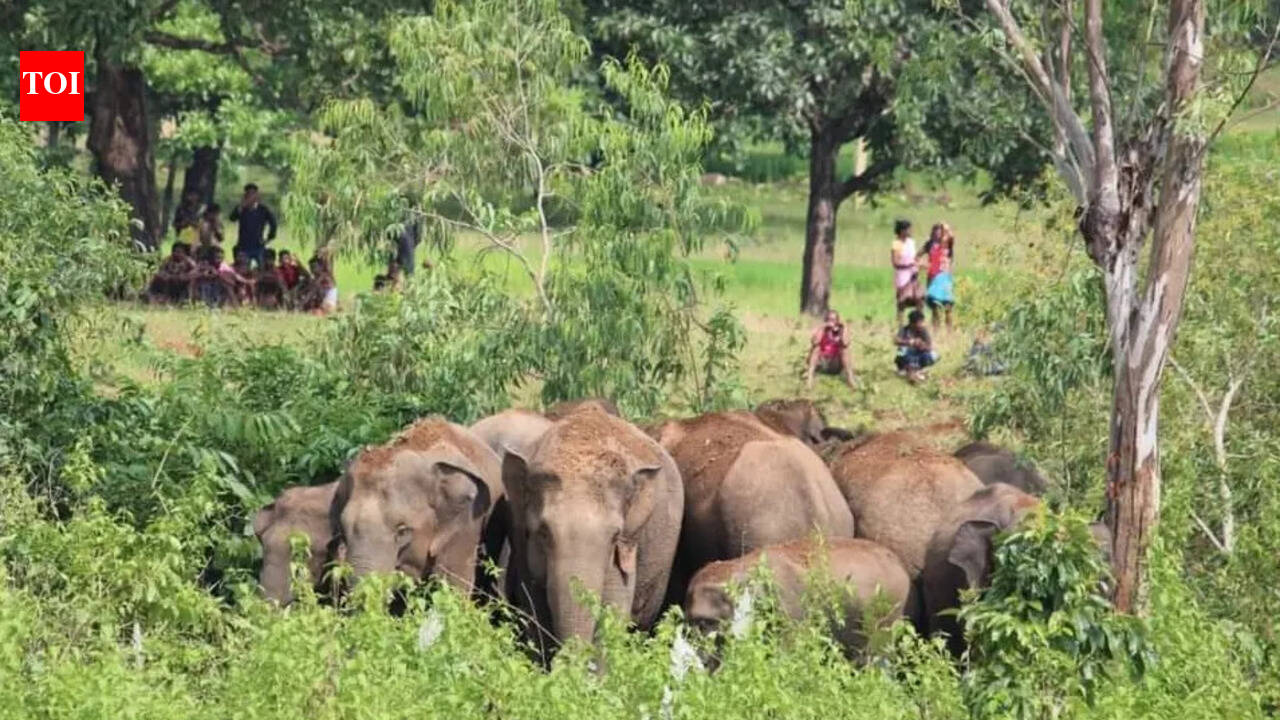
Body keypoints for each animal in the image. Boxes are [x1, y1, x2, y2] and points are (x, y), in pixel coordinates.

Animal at [503, 406, 683, 647]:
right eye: (543, 532)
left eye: (615, 536)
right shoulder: (520, 534)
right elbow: (534, 607)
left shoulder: (625, 546)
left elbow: (615, 605)